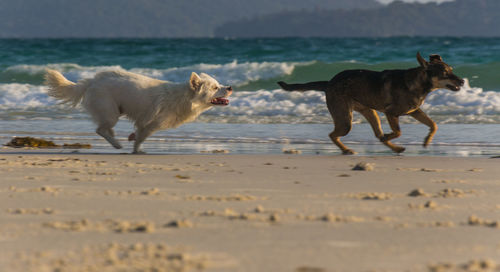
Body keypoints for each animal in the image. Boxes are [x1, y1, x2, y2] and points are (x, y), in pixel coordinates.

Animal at [44, 69, 231, 153]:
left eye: (219, 84)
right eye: (215, 87)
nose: (230, 87)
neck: (185, 97)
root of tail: (91, 81)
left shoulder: (144, 122)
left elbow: (139, 133)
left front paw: (134, 143)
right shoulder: (152, 124)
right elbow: (142, 137)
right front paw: (136, 150)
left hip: (114, 111)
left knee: (104, 128)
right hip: (111, 112)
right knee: (100, 129)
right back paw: (116, 144)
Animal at [278, 52, 464, 155]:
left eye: (452, 70)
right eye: (445, 73)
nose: (462, 81)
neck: (419, 83)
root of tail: (329, 83)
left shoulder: (414, 111)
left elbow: (433, 125)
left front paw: (426, 141)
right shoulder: (391, 112)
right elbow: (398, 131)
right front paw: (391, 135)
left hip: (369, 112)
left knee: (377, 134)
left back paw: (396, 148)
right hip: (345, 119)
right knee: (332, 135)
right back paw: (347, 150)